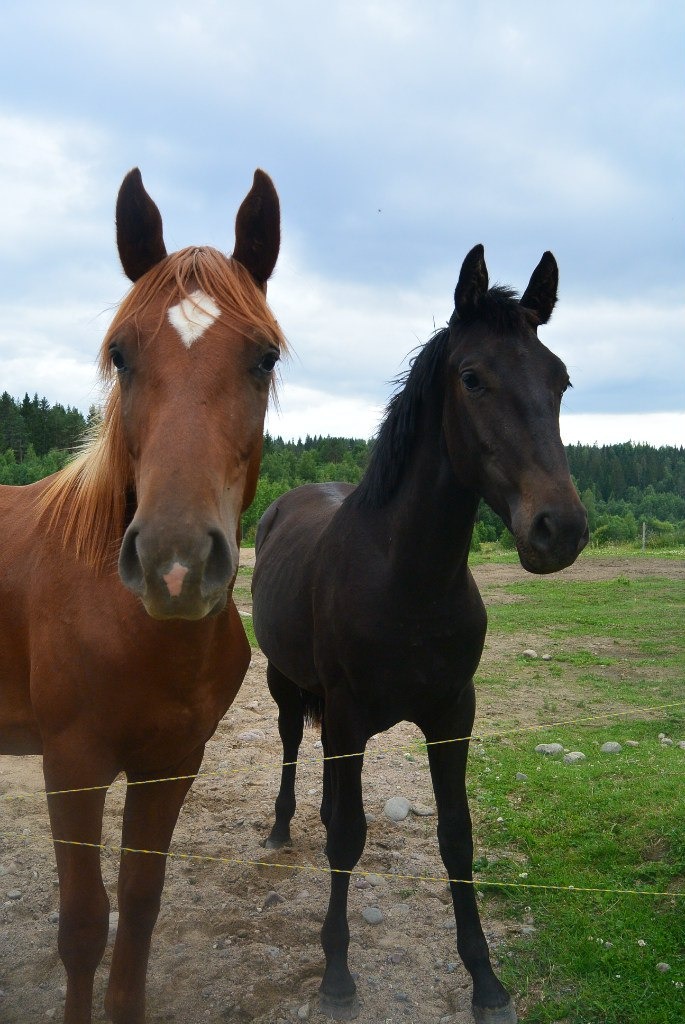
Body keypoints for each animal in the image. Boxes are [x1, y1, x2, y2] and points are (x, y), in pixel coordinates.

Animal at [0, 167, 284, 1023]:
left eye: (263, 358)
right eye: (121, 354)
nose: (175, 563)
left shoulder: (170, 766)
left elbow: (140, 904)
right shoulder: (73, 763)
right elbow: (84, 924)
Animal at [251, 244, 588, 1023]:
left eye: (559, 378)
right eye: (473, 378)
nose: (558, 529)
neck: (406, 580)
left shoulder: (452, 715)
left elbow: (456, 839)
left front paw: (486, 981)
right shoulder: (349, 713)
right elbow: (348, 837)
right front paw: (336, 975)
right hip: (287, 685)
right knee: (290, 746)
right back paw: (281, 826)